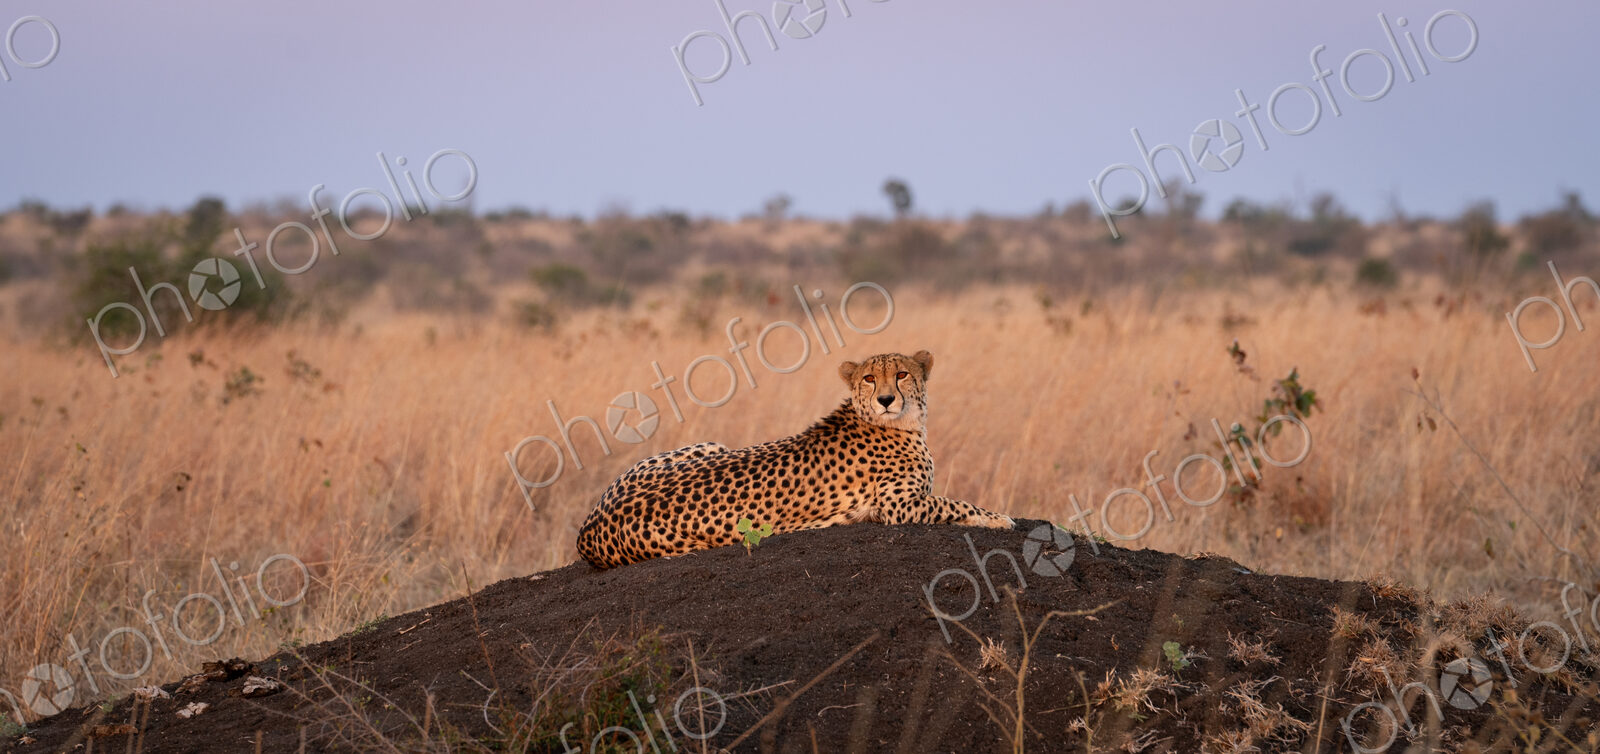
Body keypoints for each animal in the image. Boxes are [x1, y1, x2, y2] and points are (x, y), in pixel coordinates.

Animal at [575, 350, 1014, 569]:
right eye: (870, 378)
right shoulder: (900, 507)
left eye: (902, 374)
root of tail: (586, 531)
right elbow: (956, 504)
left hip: (708, 445)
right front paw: (999, 518)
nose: (887, 398)